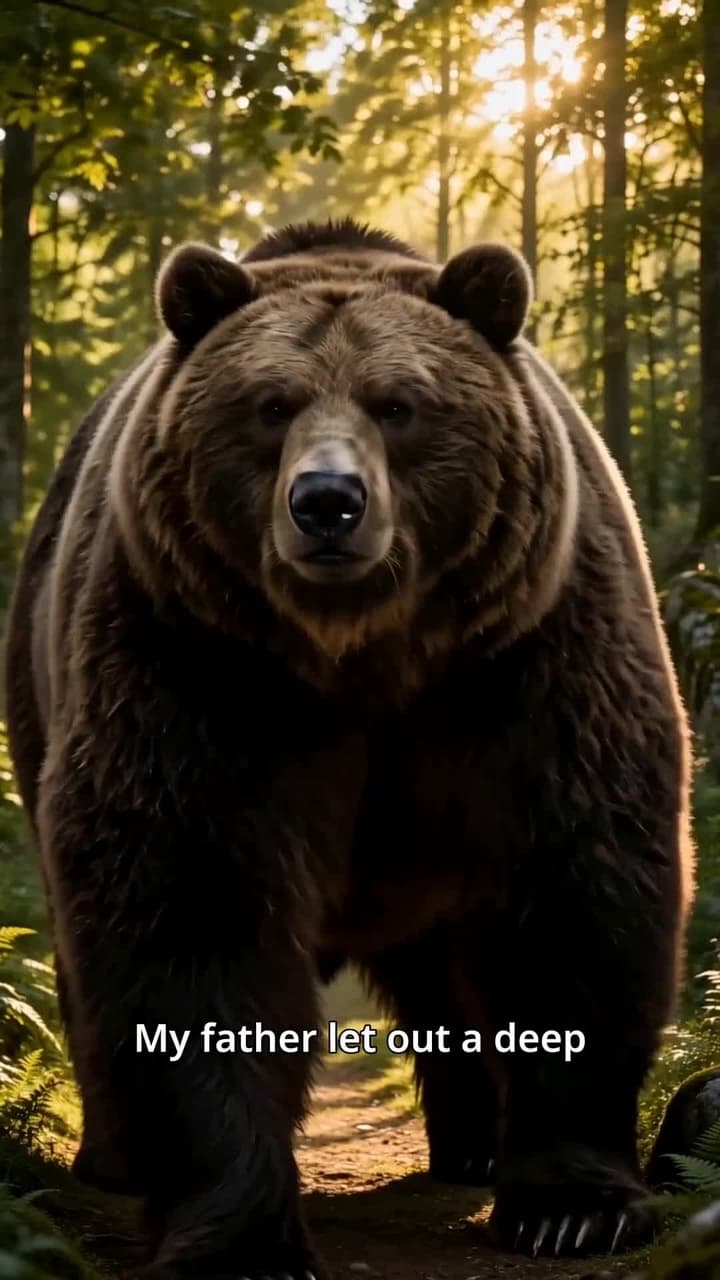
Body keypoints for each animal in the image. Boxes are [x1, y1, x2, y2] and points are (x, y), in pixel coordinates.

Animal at [4, 216, 694, 1278]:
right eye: (270, 404)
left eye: (400, 405)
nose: (327, 500)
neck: (360, 653)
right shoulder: (192, 663)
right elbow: (190, 910)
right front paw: (243, 1237)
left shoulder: (529, 659)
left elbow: (577, 883)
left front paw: (572, 1206)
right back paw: (110, 1157)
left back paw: (474, 1145)